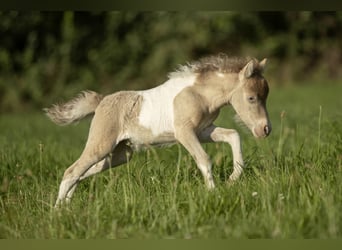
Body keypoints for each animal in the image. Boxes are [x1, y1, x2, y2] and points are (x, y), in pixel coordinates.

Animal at [44, 53, 272, 206]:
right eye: (251, 98)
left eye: (266, 96)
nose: (265, 129)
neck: (199, 94)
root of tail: (102, 101)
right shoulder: (184, 132)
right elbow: (204, 159)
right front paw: (213, 193)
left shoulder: (203, 130)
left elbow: (233, 136)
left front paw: (233, 179)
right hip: (101, 145)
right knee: (72, 171)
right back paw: (58, 211)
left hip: (122, 154)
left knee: (83, 172)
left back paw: (67, 205)